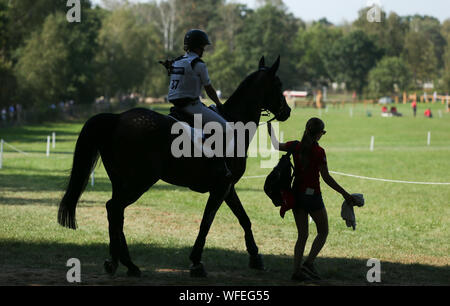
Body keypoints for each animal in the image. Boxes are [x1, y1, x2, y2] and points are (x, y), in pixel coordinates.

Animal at [58, 55, 290, 278]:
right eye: (278, 84)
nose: (287, 111)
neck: (235, 124)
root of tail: (117, 118)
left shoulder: (227, 188)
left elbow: (244, 219)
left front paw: (255, 257)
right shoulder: (221, 188)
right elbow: (206, 222)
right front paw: (196, 262)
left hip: (121, 181)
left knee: (115, 212)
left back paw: (119, 263)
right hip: (139, 182)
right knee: (115, 209)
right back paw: (126, 263)